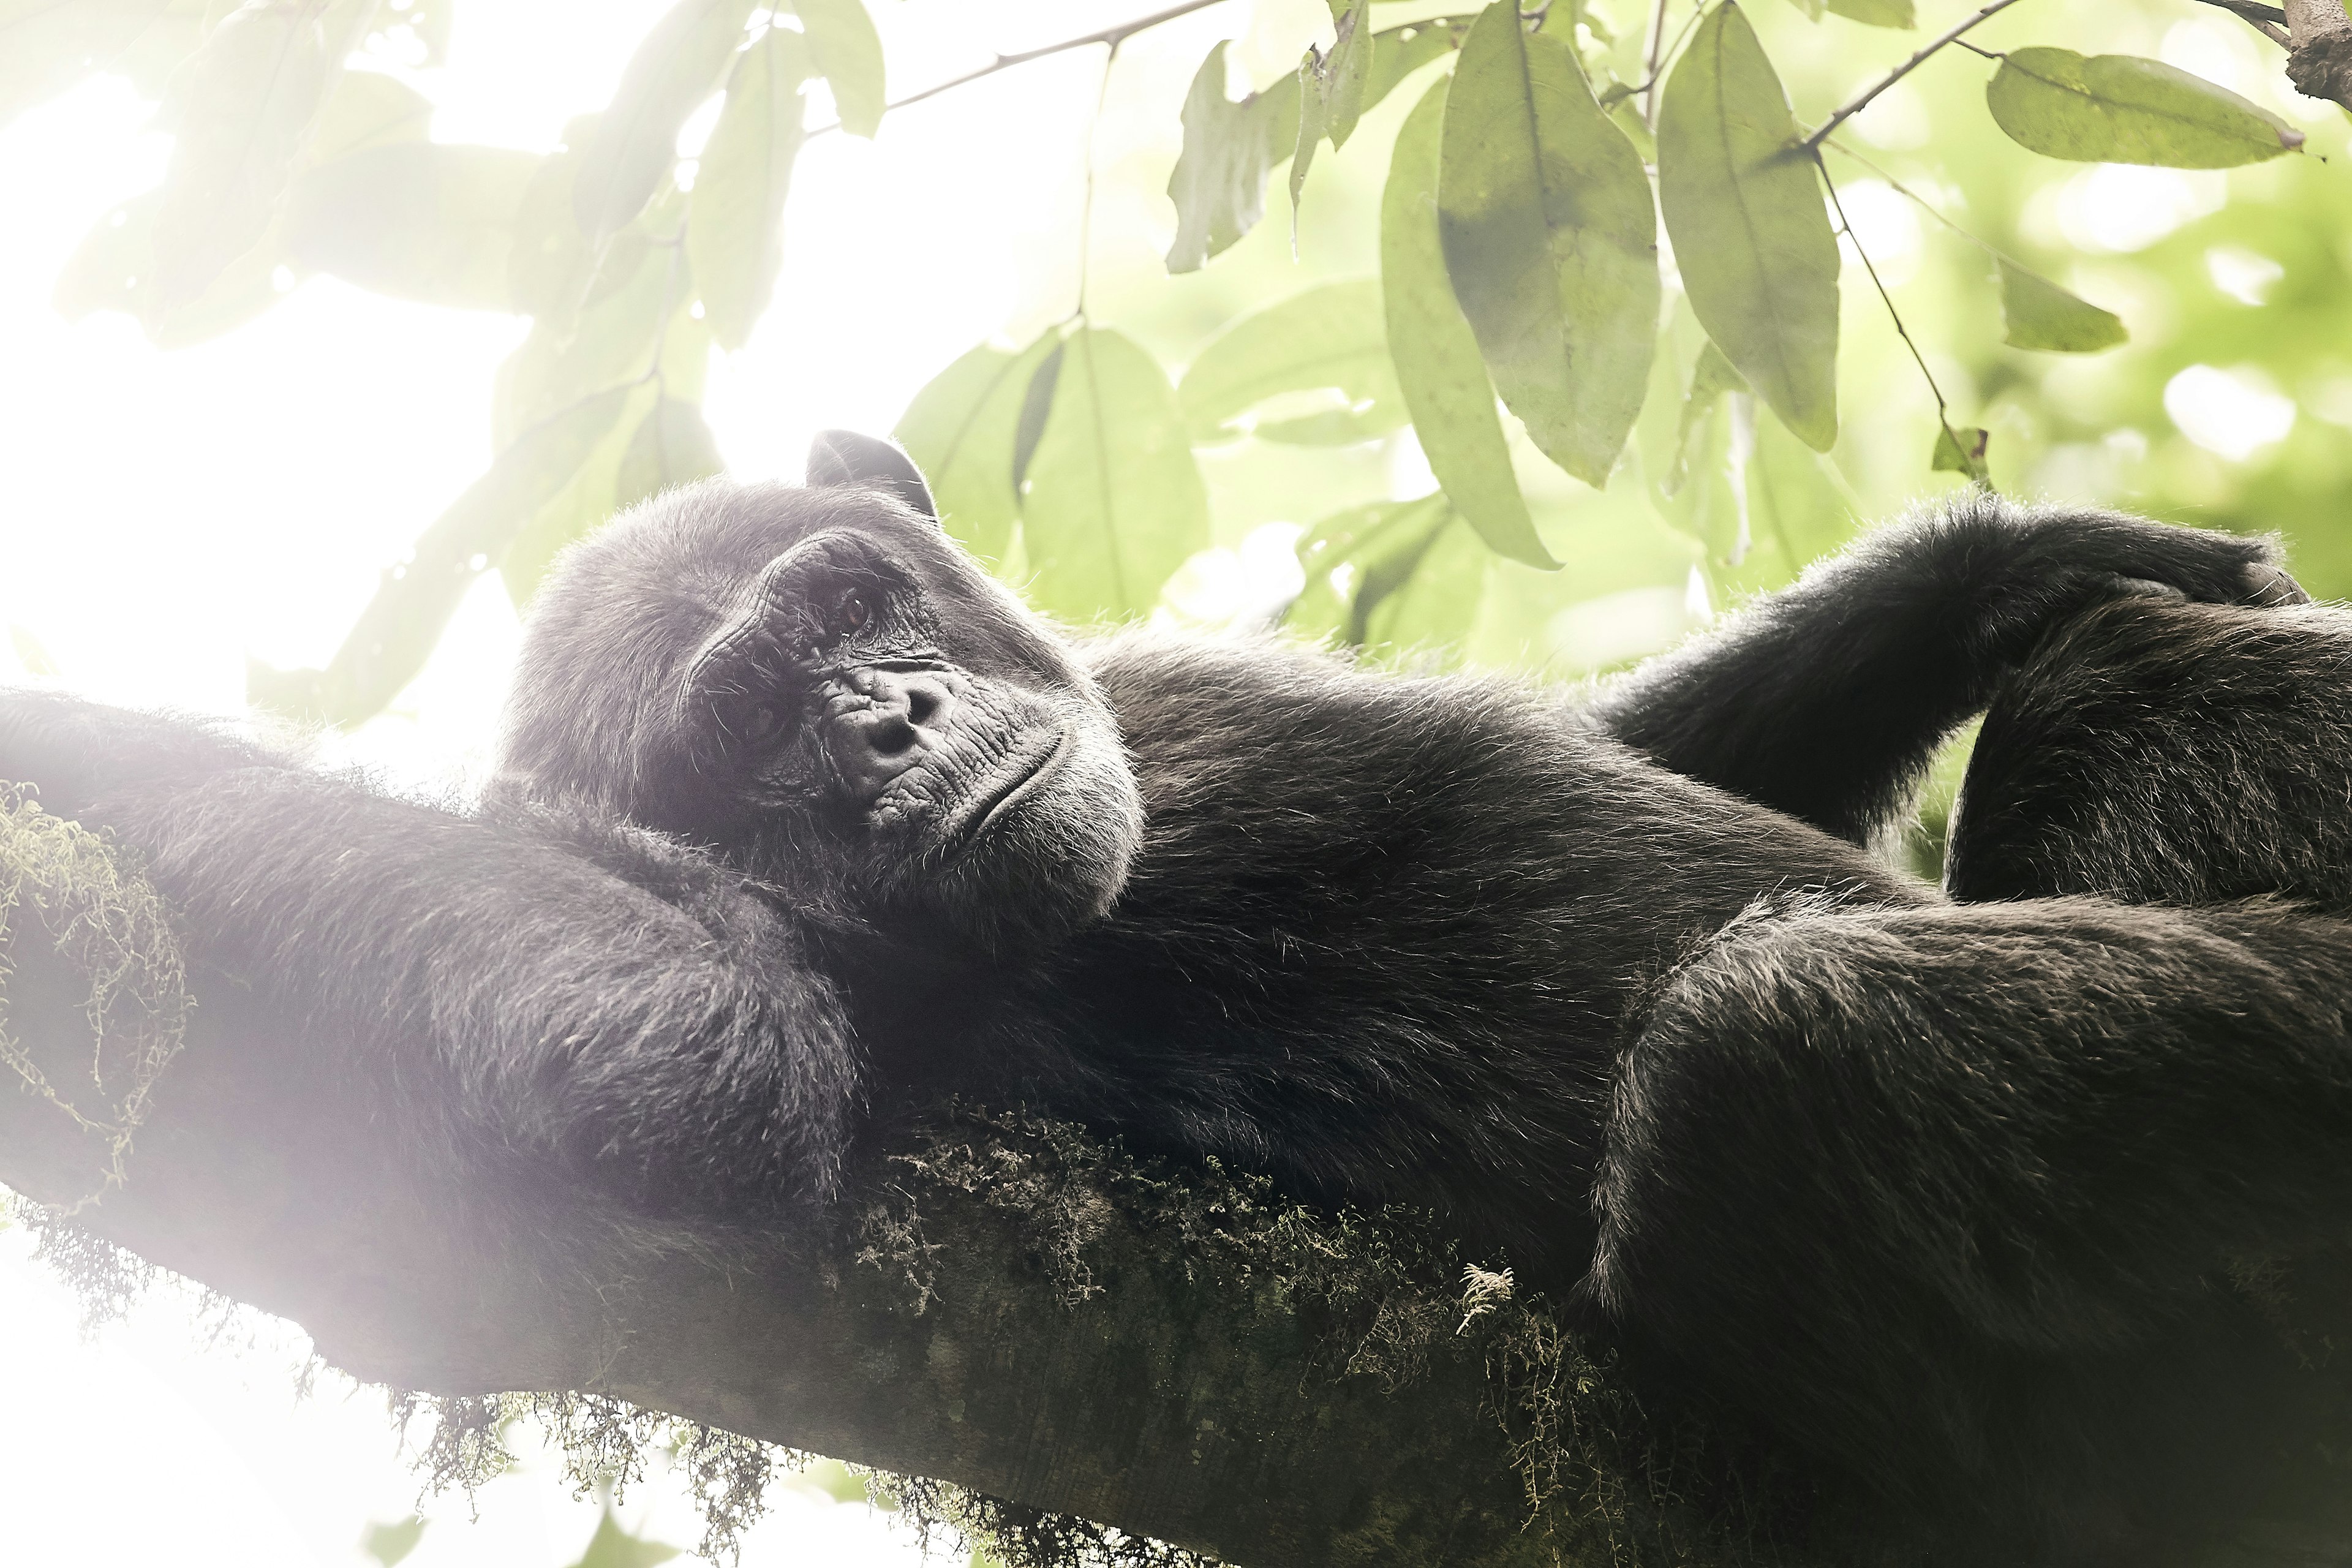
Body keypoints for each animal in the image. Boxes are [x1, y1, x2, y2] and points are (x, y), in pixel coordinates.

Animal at [4, 430, 2352, 1561]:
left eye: (851, 610)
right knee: (1777, 1037)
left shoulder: (1146, 684)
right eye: (750, 728)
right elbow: (682, 1061)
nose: (884, 720)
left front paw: (1986, 564)